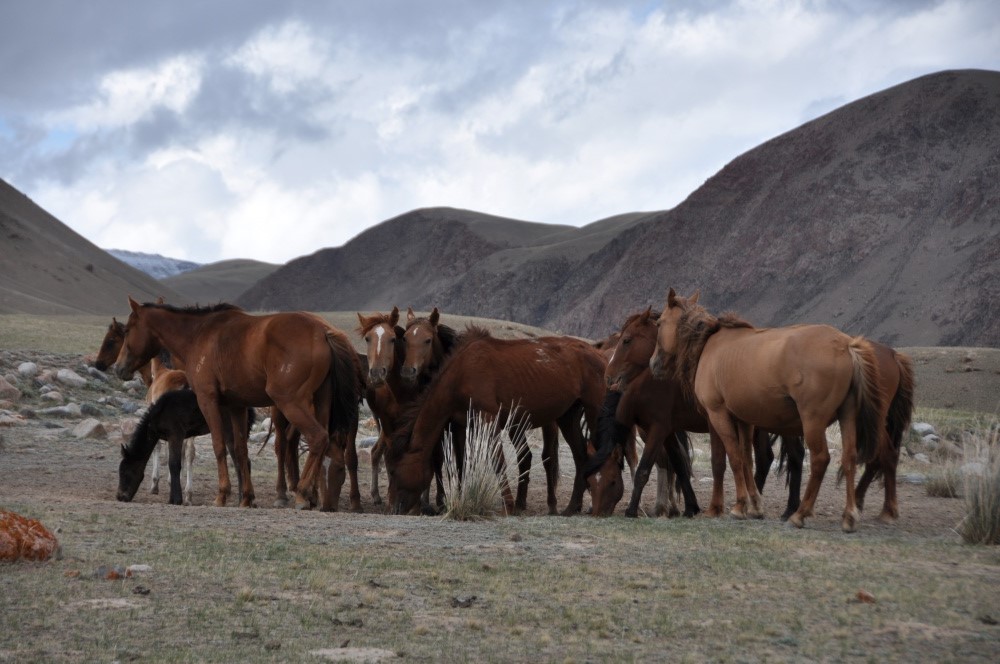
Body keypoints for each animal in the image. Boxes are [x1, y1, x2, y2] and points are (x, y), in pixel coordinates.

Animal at [117, 390, 254, 504]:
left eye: (125, 472)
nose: (120, 497)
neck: (160, 413)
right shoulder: (172, 437)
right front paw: (172, 498)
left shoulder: (176, 434)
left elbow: (174, 464)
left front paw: (176, 500)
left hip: (230, 430)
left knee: (241, 461)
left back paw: (244, 499)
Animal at [390, 326, 600, 520]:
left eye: (396, 472)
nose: (397, 508)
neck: (461, 373)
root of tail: (594, 351)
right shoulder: (462, 426)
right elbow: (462, 463)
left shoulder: (488, 420)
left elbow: (498, 462)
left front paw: (508, 506)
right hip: (568, 418)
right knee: (581, 458)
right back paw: (571, 507)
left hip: (591, 411)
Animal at [652, 290, 880, 536]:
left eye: (660, 322)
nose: (653, 364)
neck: (709, 346)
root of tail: (846, 345)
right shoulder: (744, 420)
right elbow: (746, 460)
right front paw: (755, 506)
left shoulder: (718, 415)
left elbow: (728, 460)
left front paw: (731, 507)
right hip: (847, 417)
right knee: (849, 459)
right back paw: (849, 517)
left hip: (813, 421)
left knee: (820, 460)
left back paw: (799, 514)